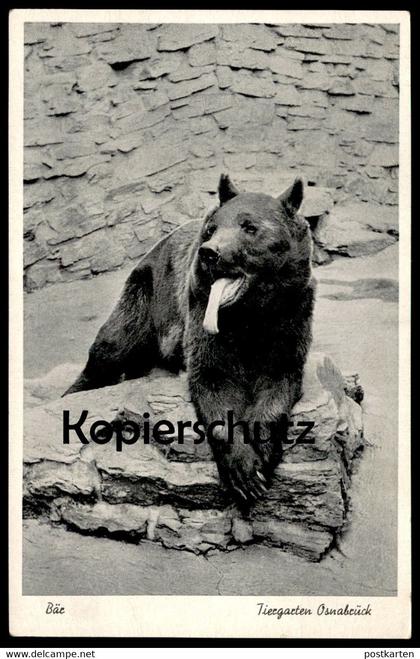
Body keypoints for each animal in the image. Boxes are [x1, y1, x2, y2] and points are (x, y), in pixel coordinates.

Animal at [65, 174, 315, 508]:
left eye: (250, 227)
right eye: (212, 229)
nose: (210, 252)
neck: (250, 312)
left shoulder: (292, 312)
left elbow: (280, 378)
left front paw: (259, 460)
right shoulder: (200, 305)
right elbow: (212, 377)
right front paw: (243, 472)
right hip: (147, 296)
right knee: (114, 344)